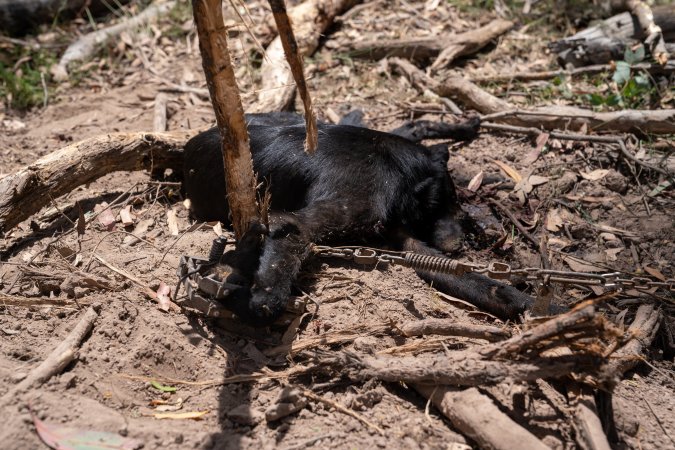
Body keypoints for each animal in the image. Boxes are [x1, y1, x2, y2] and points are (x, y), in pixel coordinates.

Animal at [182, 112, 540, 324]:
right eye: (443, 201)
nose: (458, 246)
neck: (393, 161)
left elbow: (481, 284)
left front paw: (533, 304)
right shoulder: (357, 200)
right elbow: (289, 230)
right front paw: (258, 297)